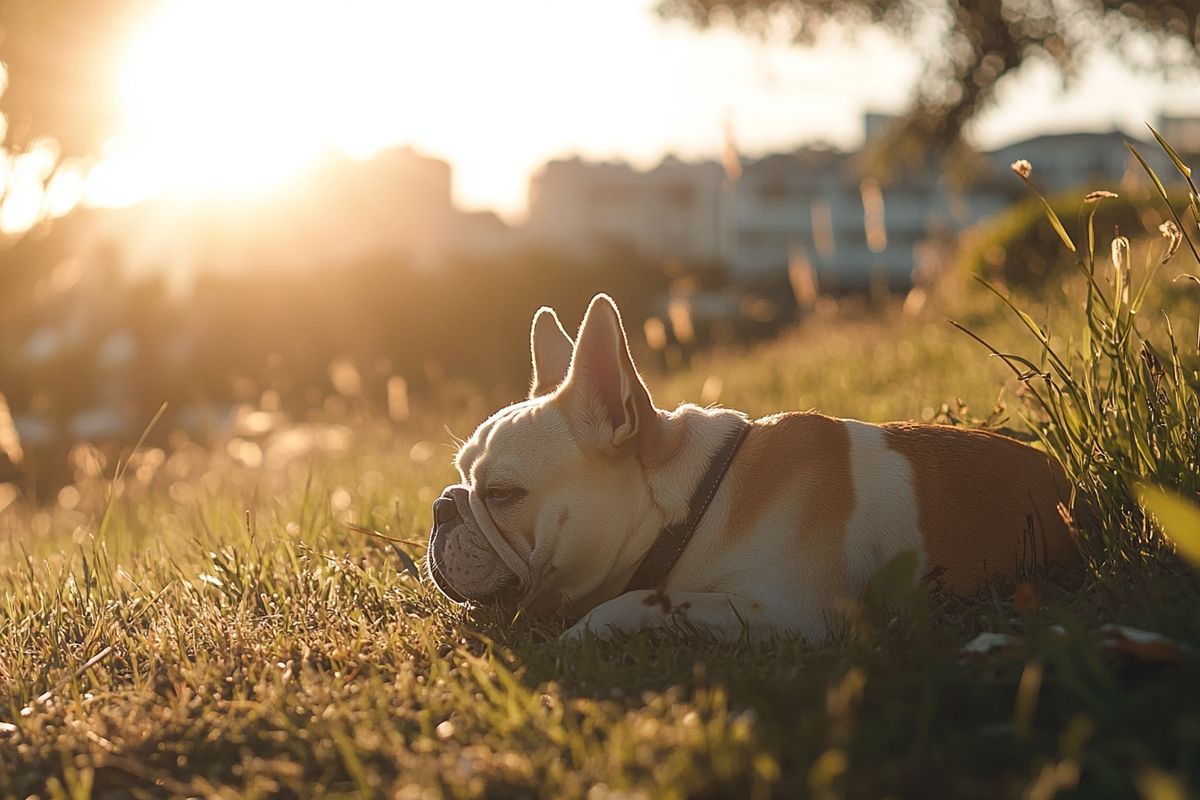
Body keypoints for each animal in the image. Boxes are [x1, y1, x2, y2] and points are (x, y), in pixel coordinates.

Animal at [427, 297, 1084, 642]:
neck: (697, 504)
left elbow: (640, 601)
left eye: (502, 493)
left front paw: (581, 631)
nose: (441, 506)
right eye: (462, 477)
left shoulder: (794, 613)